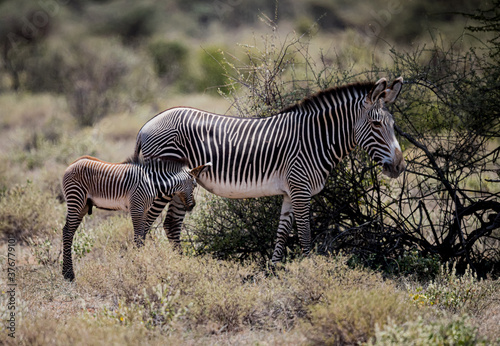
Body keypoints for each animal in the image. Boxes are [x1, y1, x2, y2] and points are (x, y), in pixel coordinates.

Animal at [61, 155, 210, 280]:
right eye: (195, 185)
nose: (192, 206)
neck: (152, 183)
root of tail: (72, 164)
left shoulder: (144, 210)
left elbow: (142, 238)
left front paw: (140, 264)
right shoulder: (136, 208)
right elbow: (138, 238)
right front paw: (137, 268)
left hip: (83, 205)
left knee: (68, 231)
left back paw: (67, 272)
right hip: (76, 199)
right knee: (67, 232)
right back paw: (69, 275)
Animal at [134, 77, 406, 262]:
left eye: (393, 124)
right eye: (376, 124)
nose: (399, 166)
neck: (315, 139)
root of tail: (146, 125)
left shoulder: (290, 192)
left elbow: (282, 233)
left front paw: (274, 271)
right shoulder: (300, 189)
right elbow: (305, 234)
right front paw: (309, 270)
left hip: (182, 185)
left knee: (171, 224)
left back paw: (184, 265)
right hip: (164, 183)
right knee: (144, 224)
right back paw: (143, 266)